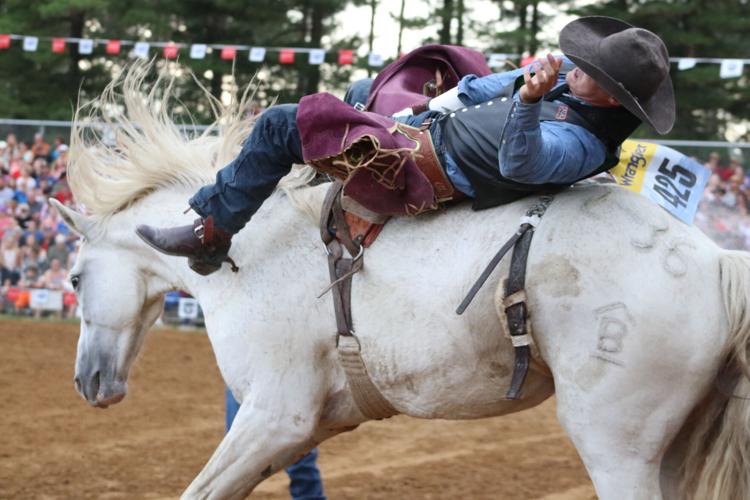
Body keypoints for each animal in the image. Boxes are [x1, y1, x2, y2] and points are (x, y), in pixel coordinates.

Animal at [61, 64, 750, 498]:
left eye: (73, 276)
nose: (87, 382)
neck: (254, 247)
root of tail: (717, 262)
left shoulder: (276, 415)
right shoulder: (302, 426)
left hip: (615, 444)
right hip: (675, 444)